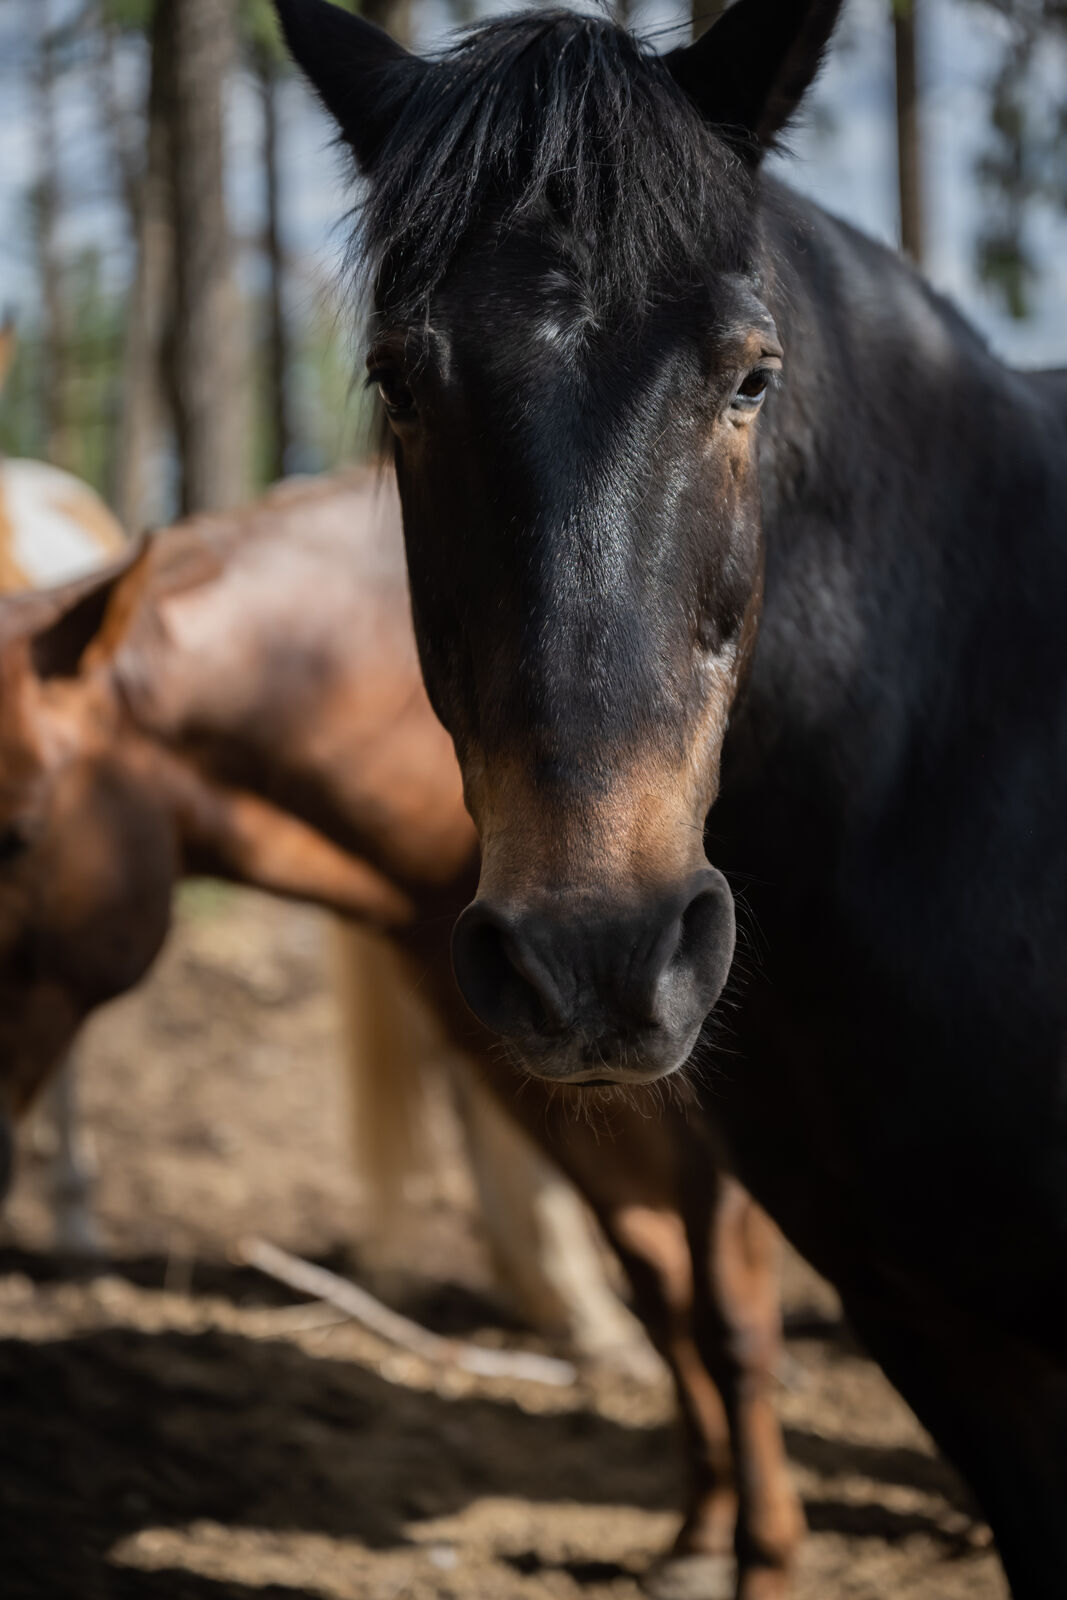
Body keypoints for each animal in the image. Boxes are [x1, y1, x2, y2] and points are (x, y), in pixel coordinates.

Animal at [0, 468, 800, 1598]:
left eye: (17, 834)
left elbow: (730, 1321)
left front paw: (761, 1554)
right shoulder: (540, 1082)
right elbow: (662, 1294)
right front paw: (697, 1537)